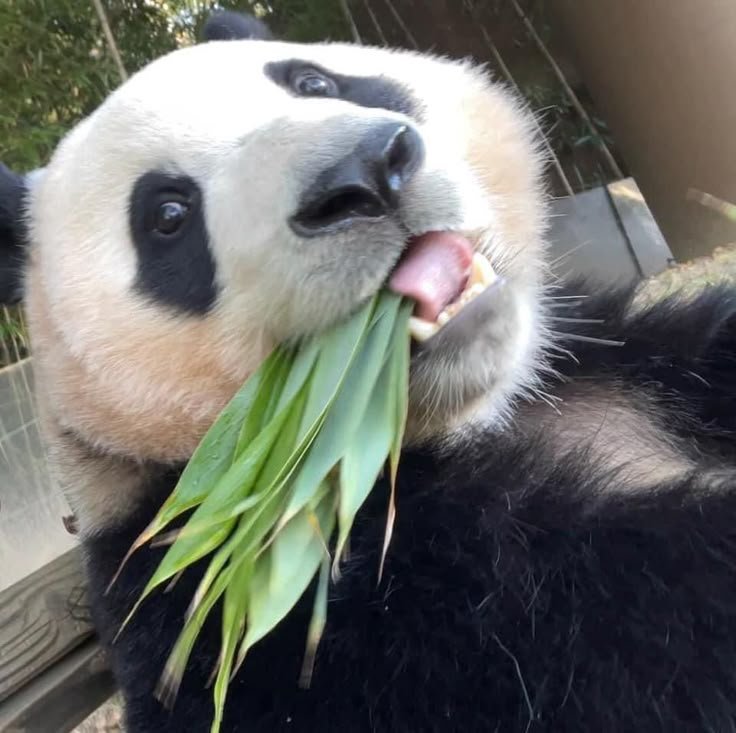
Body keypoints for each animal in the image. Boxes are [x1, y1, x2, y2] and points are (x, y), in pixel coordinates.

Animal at [2, 10, 736, 732]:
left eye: (314, 82)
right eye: (168, 214)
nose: (358, 172)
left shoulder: (605, 356)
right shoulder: (261, 597)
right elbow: (637, 627)